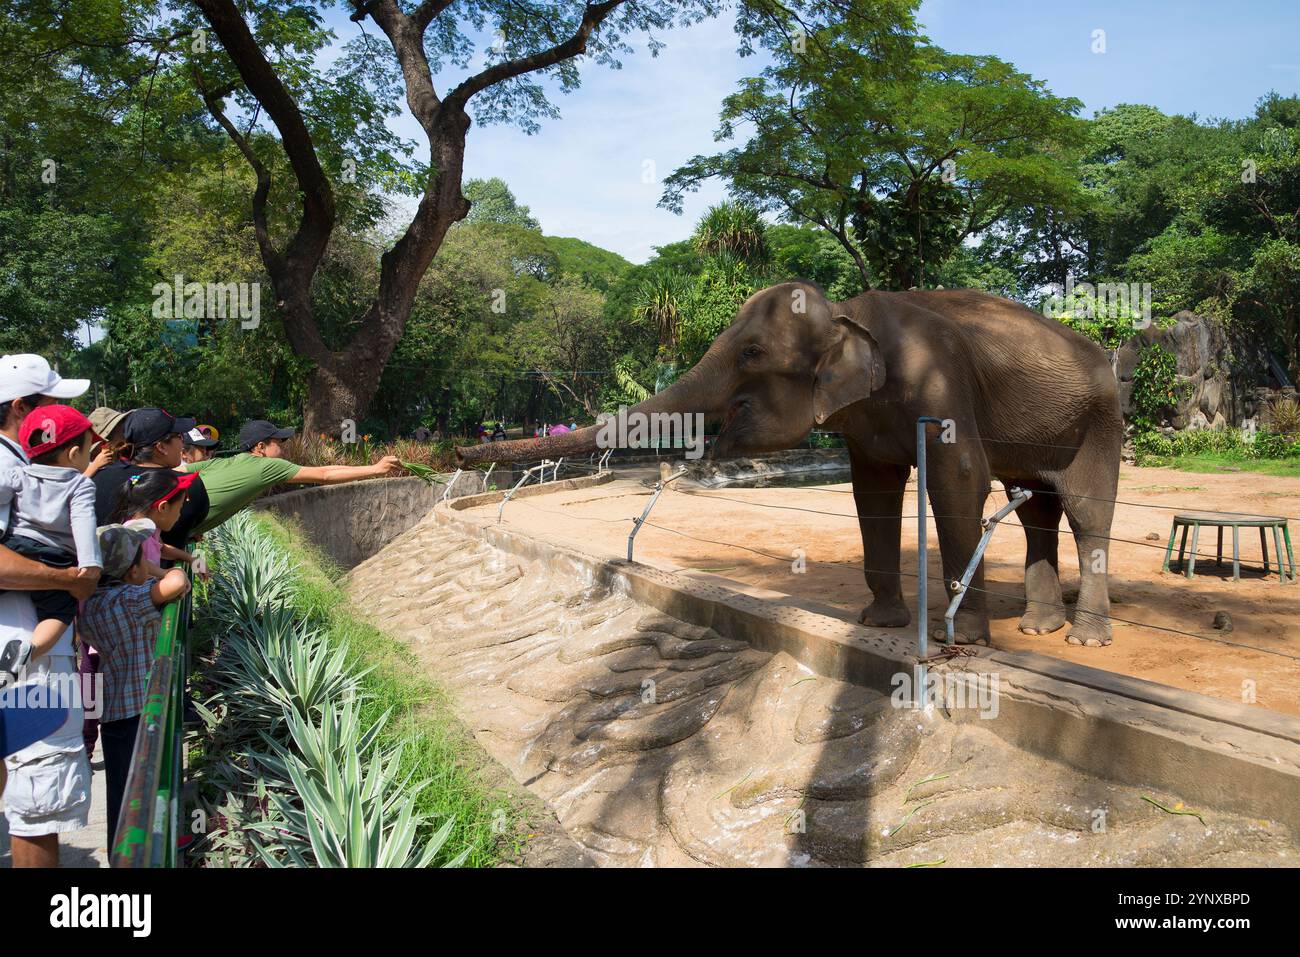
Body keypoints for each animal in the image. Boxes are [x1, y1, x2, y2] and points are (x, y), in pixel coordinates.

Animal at [462, 280, 1123, 647]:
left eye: (752, 353)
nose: (463, 452)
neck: (847, 314)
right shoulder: (864, 421)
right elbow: (872, 492)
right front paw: (878, 624)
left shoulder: (942, 384)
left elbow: (961, 480)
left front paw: (955, 637)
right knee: (1035, 507)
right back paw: (1039, 630)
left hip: (1102, 416)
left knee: (1087, 512)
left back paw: (1086, 639)